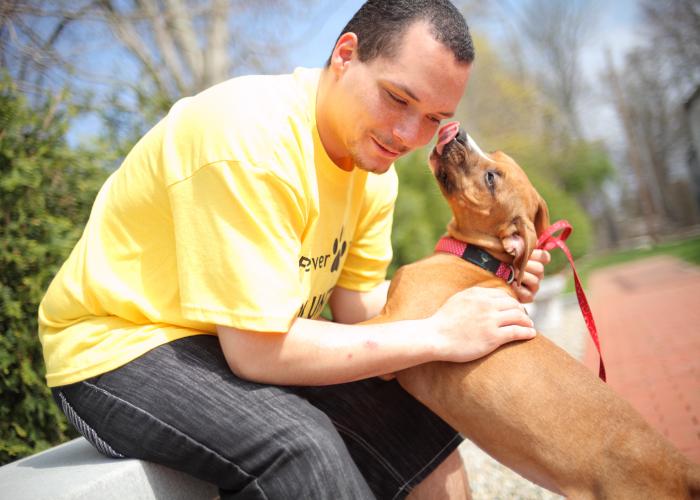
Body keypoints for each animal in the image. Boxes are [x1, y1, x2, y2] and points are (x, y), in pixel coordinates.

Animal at [366, 130, 700, 500]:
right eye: (494, 154)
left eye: (491, 178)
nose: (459, 132)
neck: (477, 258)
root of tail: (683, 469)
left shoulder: (393, 326)